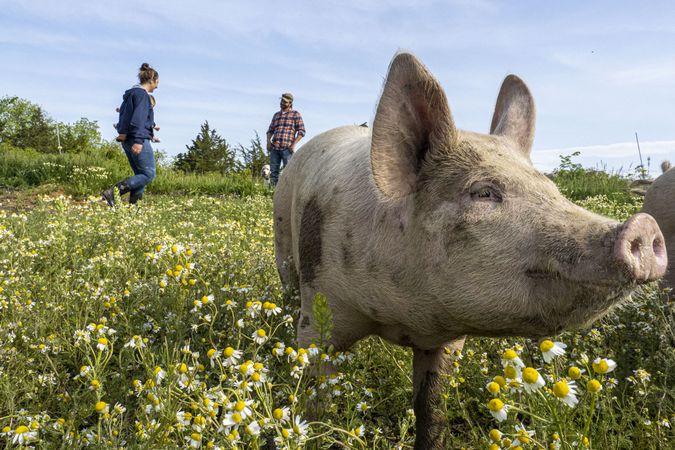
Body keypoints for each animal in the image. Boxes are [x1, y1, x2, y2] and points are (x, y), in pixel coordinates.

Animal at [274, 51, 664, 446]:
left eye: (552, 190)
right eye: (484, 192)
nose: (643, 227)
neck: (402, 319)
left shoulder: (449, 339)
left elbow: (431, 406)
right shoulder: (319, 316)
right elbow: (316, 399)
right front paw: (312, 433)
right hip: (284, 248)